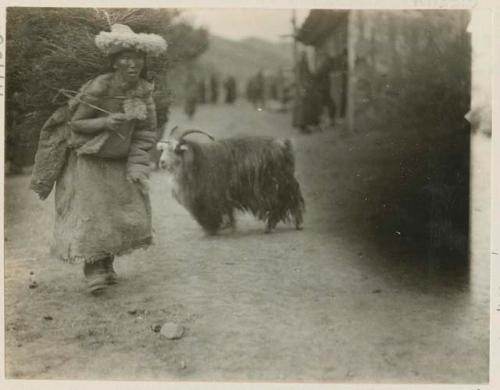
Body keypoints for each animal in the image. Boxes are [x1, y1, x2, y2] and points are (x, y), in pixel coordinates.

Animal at [156, 125, 304, 235]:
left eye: (176, 149)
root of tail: (284, 145)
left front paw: (214, 229)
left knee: (287, 201)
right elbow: (228, 212)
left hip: (275, 185)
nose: (161, 162)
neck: (197, 162)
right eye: (163, 149)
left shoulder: (211, 197)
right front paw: (227, 227)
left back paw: (278, 226)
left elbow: (216, 213)